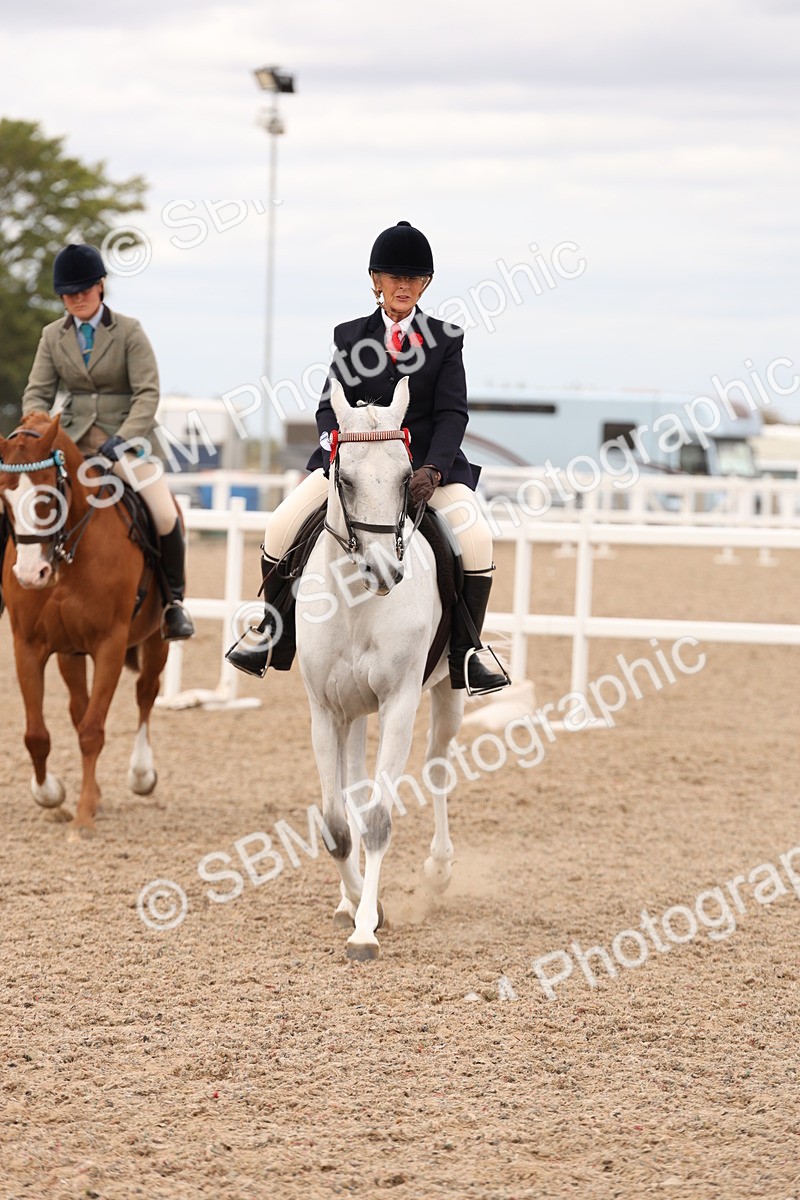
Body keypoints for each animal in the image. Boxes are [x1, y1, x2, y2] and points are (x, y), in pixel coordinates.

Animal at [0, 412, 170, 834]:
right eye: (4, 499)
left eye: (49, 497)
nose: (31, 575)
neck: (67, 554)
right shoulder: (27, 646)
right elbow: (37, 735)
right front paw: (50, 794)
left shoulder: (111, 644)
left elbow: (94, 731)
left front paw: (82, 816)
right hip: (70, 653)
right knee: (79, 707)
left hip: (157, 639)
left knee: (146, 692)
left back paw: (140, 775)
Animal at [295, 378, 465, 960]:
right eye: (343, 477)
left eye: (405, 477)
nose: (385, 572)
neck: (356, 601)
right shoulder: (325, 711)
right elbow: (337, 825)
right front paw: (355, 905)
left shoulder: (398, 705)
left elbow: (375, 821)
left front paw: (366, 928)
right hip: (351, 712)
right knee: (353, 785)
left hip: (446, 693)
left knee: (437, 766)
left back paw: (439, 868)